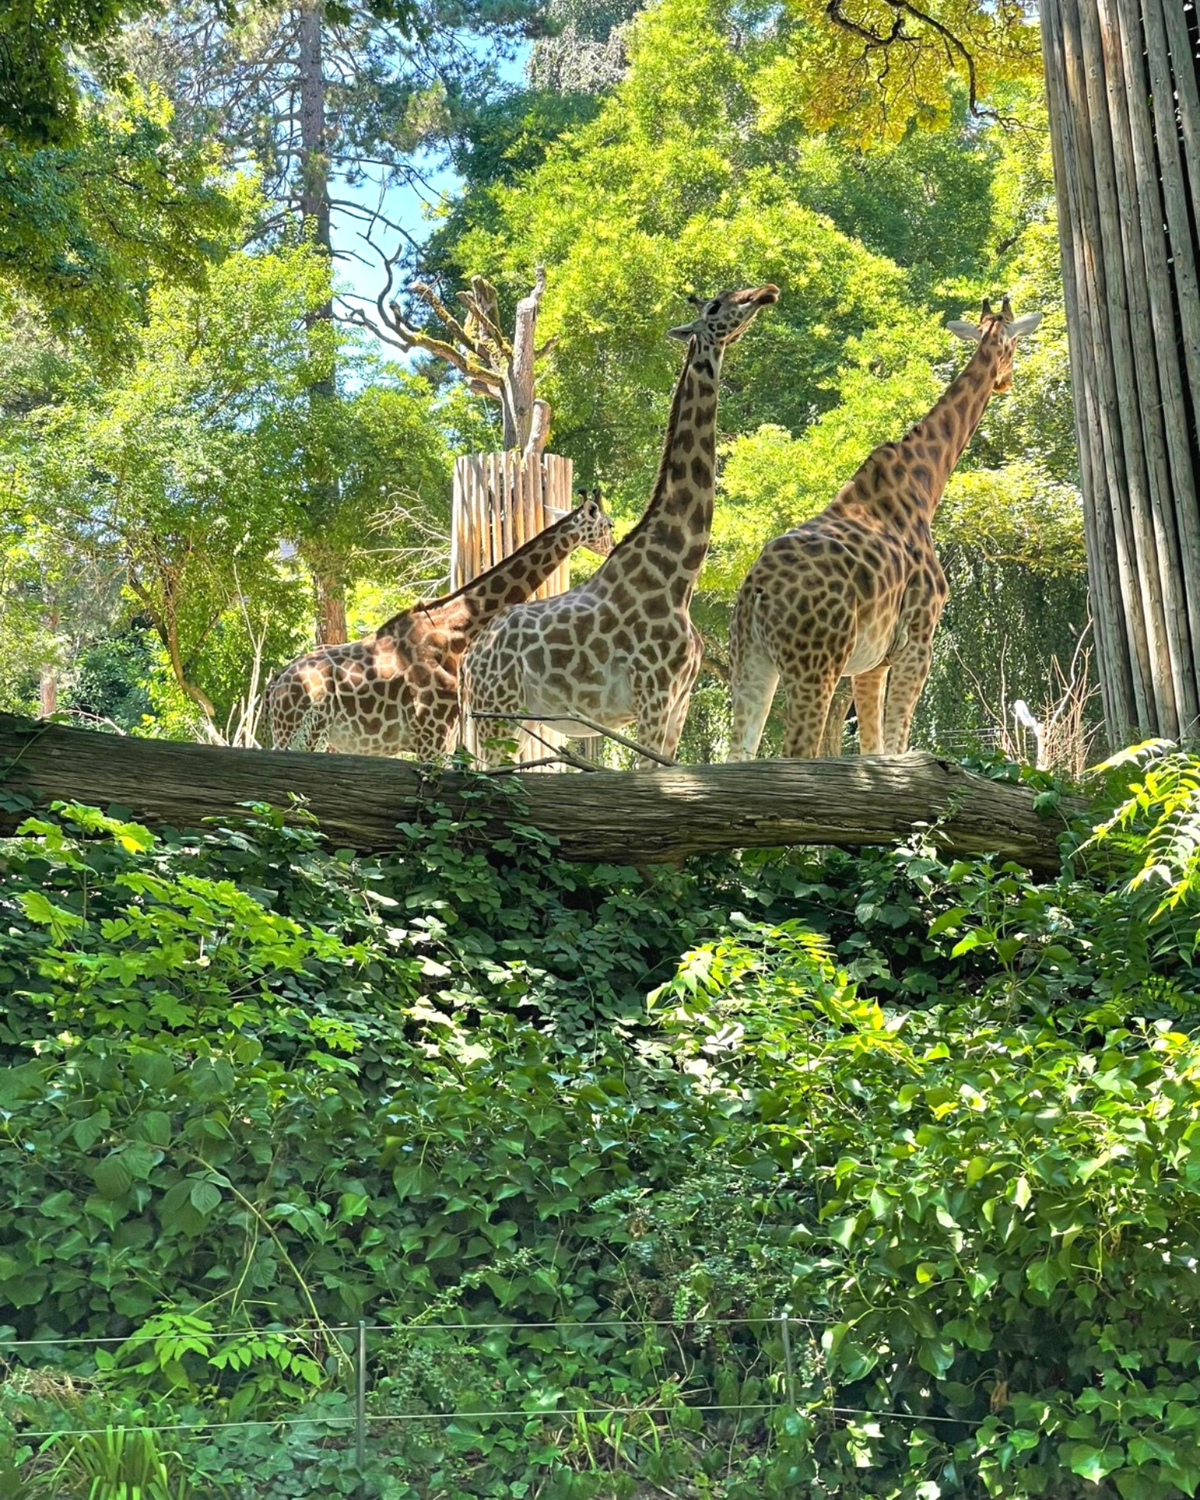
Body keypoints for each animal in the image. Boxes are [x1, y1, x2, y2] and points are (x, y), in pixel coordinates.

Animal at [267, 495, 615, 762]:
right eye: (609, 525)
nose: (613, 545)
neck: (453, 634)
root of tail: (273, 685)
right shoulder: (430, 733)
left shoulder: (444, 735)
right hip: (298, 731)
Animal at [459, 286, 780, 768]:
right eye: (716, 306)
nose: (765, 293)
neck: (680, 575)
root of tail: (469, 660)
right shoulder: (654, 694)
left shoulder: (679, 703)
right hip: (496, 711)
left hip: (501, 716)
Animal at [726, 294, 1038, 762]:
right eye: (1015, 344)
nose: (1006, 382)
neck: (925, 483)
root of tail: (757, 589)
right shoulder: (918, 641)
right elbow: (897, 744)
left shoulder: (872, 662)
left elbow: (873, 751)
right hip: (815, 665)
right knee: (796, 753)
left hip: (750, 661)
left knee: (736, 756)